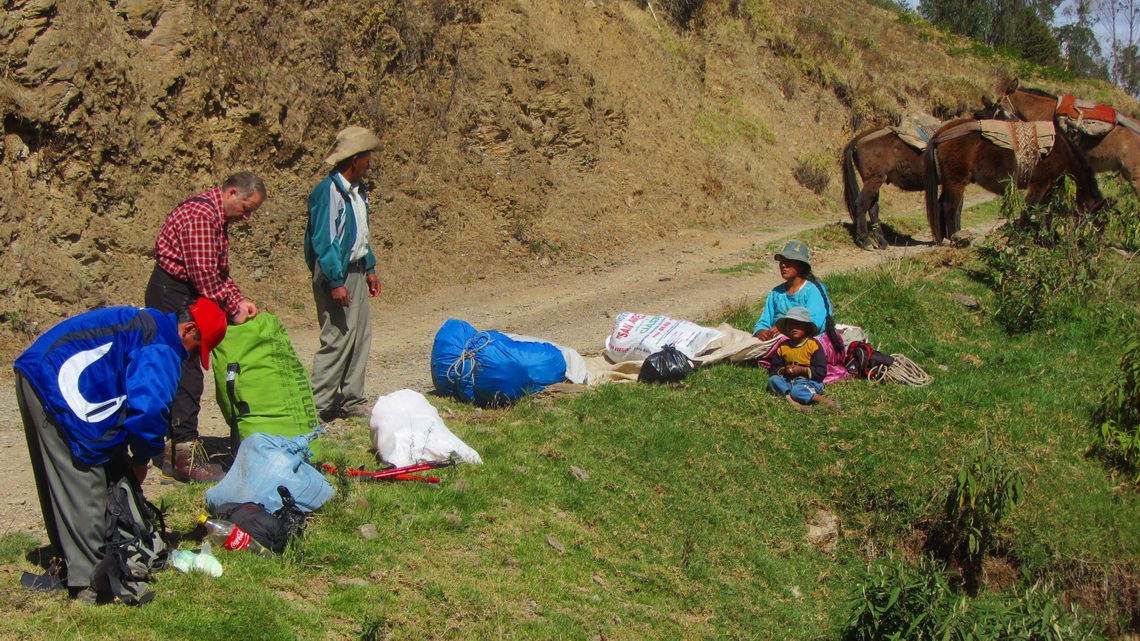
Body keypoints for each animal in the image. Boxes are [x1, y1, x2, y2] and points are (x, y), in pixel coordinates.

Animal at [925, 117, 1103, 241]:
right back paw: (955, 238)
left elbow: (1046, 214)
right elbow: (1028, 210)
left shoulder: (1048, 189)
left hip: (951, 180)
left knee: (943, 204)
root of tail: (943, 131)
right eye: (1096, 223)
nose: (1090, 245)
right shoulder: (1039, 184)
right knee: (951, 207)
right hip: (957, 179)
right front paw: (1020, 237)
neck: (1062, 154)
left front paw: (1047, 238)